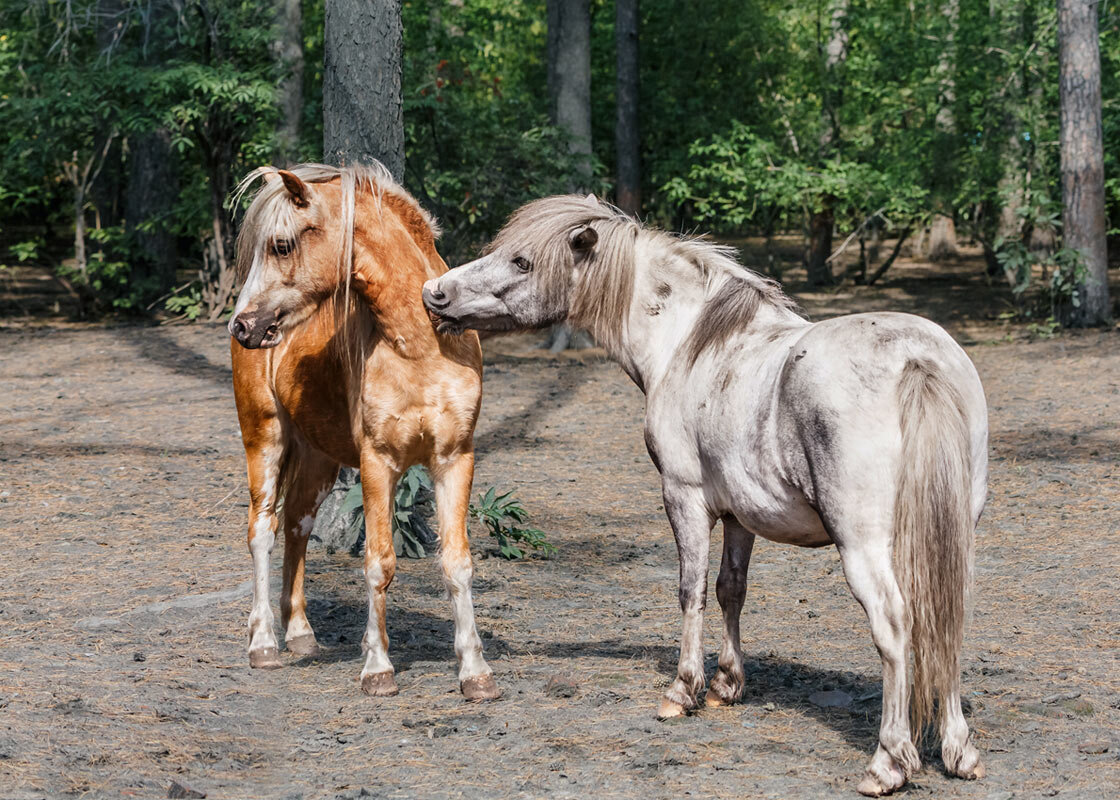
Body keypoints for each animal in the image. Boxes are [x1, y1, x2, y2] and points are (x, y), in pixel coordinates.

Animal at [229, 162, 497, 699]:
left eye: (282, 246)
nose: (243, 326)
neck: (419, 346)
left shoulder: (454, 459)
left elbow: (457, 564)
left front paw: (475, 672)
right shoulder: (378, 463)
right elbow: (379, 562)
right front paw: (377, 668)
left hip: (318, 458)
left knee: (297, 526)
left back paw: (300, 634)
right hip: (264, 440)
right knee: (262, 530)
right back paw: (264, 642)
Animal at [421, 194, 990, 797]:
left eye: (523, 262)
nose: (436, 292)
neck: (690, 344)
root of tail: (915, 360)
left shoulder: (685, 499)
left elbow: (690, 590)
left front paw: (683, 690)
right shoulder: (741, 513)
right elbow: (729, 590)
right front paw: (726, 684)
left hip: (863, 547)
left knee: (895, 627)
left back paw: (889, 761)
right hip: (951, 537)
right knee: (946, 616)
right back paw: (959, 750)